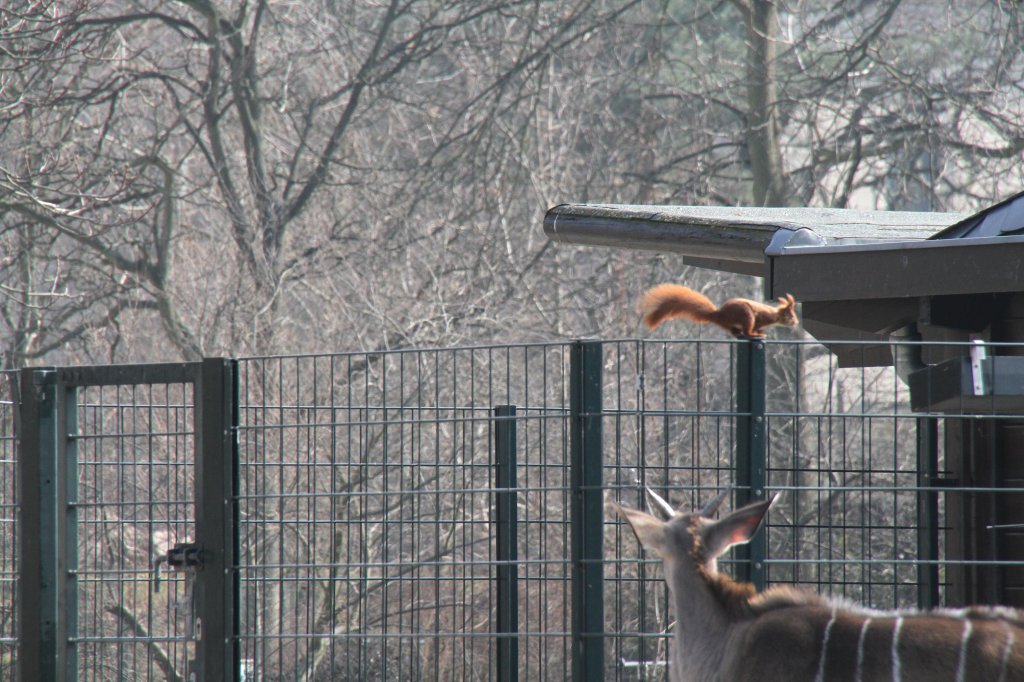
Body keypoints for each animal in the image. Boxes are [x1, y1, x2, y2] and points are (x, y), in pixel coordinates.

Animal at [638, 280, 798, 337]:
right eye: (791, 316)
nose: (796, 323)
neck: (774, 315)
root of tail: (719, 315)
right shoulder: (761, 318)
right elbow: (758, 325)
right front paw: (759, 332)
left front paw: (761, 331)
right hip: (746, 315)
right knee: (747, 330)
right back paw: (754, 335)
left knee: (734, 331)